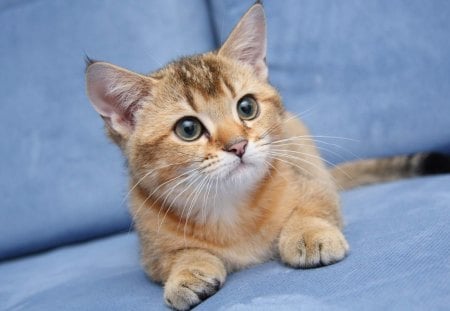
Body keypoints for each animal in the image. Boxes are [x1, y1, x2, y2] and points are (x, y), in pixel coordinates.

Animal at [84, 3, 450, 311]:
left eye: (247, 107)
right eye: (188, 129)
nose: (237, 145)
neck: (230, 208)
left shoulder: (313, 181)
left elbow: (311, 208)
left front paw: (307, 233)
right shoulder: (150, 249)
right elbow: (177, 255)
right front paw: (187, 272)